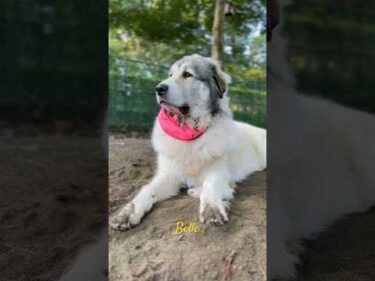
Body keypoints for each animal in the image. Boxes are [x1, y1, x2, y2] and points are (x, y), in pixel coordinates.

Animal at [111, 54, 268, 230]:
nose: (158, 88)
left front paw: (212, 209)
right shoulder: (168, 175)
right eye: (170, 75)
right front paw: (127, 213)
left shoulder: (218, 173)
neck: (188, 131)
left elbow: (209, 186)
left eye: (187, 74)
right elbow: (147, 189)